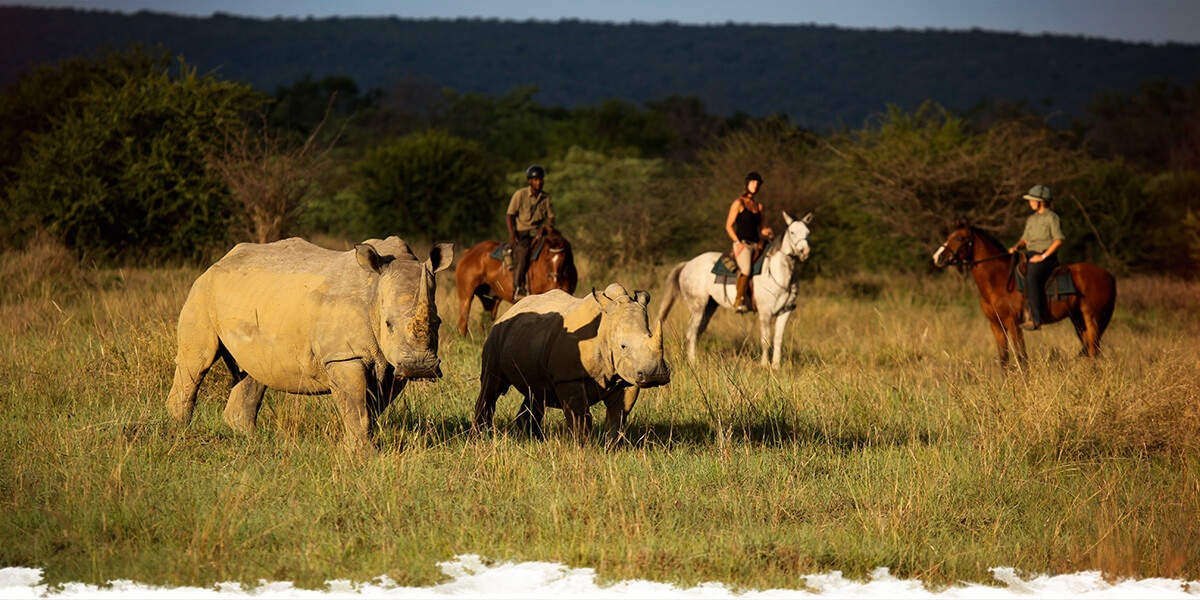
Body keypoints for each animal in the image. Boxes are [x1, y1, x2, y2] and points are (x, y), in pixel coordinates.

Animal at [164, 234, 453, 451]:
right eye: (388, 324)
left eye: (438, 322)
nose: (420, 367)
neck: (374, 292)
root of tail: (220, 260)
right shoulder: (344, 355)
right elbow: (356, 402)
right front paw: (361, 453)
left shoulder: (392, 363)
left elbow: (371, 404)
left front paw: (357, 446)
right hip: (202, 290)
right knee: (196, 363)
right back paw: (178, 432)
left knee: (253, 372)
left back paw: (248, 438)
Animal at [472, 283, 672, 448]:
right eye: (623, 346)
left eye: (650, 336)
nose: (655, 375)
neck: (606, 330)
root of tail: (513, 308)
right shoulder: (569, 378)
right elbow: (579, 415)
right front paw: (584, 448)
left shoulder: (626, 378)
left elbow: (618, 415)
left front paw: (612, 448)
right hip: (497, 333)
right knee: (491, 385)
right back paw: (481, 436)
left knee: (536, 392)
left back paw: (532, 438)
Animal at [657, 211, 816, 369]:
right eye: (792, 232)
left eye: (808, 232)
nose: (805, 251)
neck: (779, 273)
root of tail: (687, 264)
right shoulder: (765, 313)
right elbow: (765, 340)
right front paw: (764, 365)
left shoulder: (785, 312)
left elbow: (778, 340)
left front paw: (776, 367)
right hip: (698, 307)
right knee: (691, 332)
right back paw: (692, 361)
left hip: (709, 306)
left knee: (697, 332)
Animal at [931, 220, 1118, 364]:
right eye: (948, 237)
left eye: (959, 238)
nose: (937, 258)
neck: (998, 280)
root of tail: (1110, 276)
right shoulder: (996, 325)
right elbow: (1004, 359)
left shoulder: (1013, 323)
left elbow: (1022, 358)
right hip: (1078, 320)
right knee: (1091, 350)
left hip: (1092, 319)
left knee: (1093, 351)